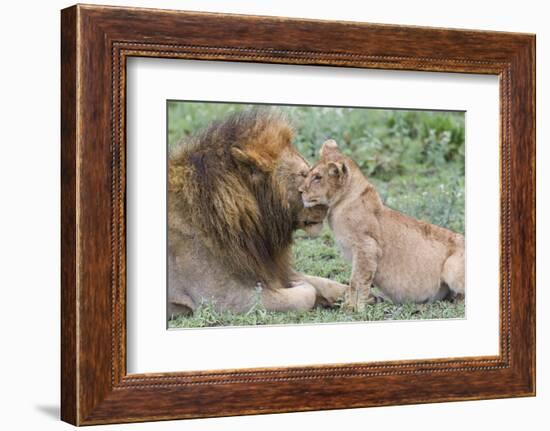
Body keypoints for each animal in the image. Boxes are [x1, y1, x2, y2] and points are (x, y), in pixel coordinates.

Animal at [167, 109, 344, 318]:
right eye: (303, 175)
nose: (328, 203)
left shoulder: (267, 268)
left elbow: (324, 282)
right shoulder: (223, 299)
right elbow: (305, 295)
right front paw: (299, 285)